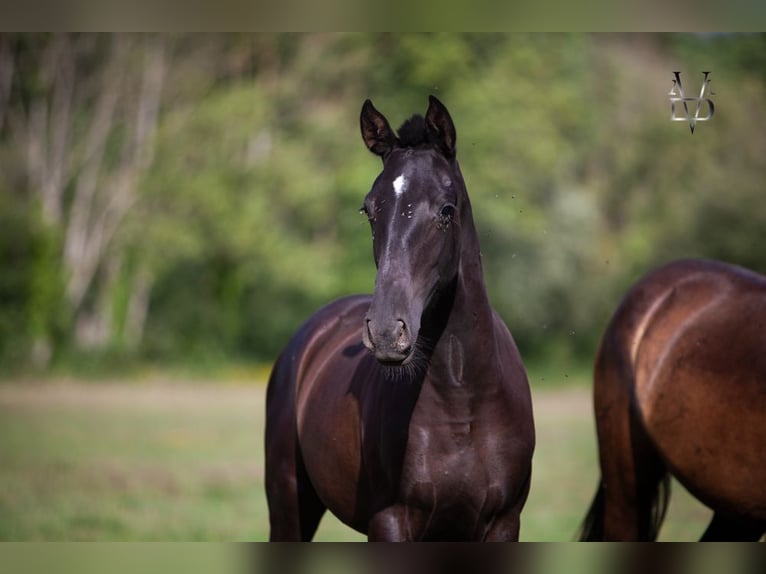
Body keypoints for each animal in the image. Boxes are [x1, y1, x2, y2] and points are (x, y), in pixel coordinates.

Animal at [268, 97, 536, 544]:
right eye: (368, 209)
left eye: (446, 209)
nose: (386, 332)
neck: (462, 402)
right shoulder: (390, 521)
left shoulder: (503, 522)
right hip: (289, 502)